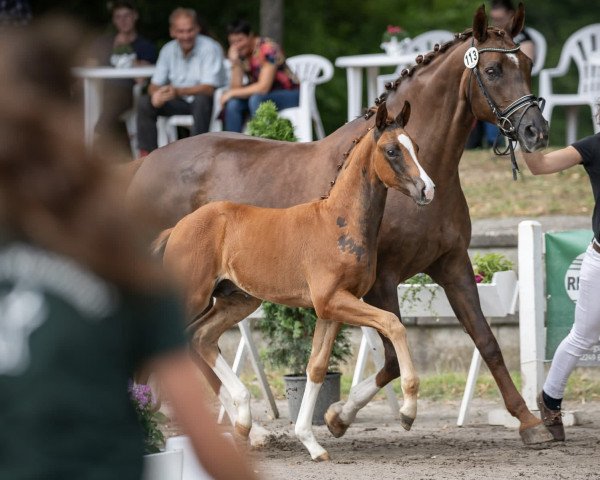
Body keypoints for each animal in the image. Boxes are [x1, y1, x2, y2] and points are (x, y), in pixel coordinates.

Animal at [155, 102, 434, 462]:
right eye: (391, 150)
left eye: (416, 147)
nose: (427, 190)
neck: (340, 223)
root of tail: (177, 227)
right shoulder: (332, 300)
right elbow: (393, 323)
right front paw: (408, 412)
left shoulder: (332, 309)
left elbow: (316, 367)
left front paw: (311, 442)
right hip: (192, 296)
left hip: (239, 300)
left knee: (200, 338)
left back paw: (244, 421)